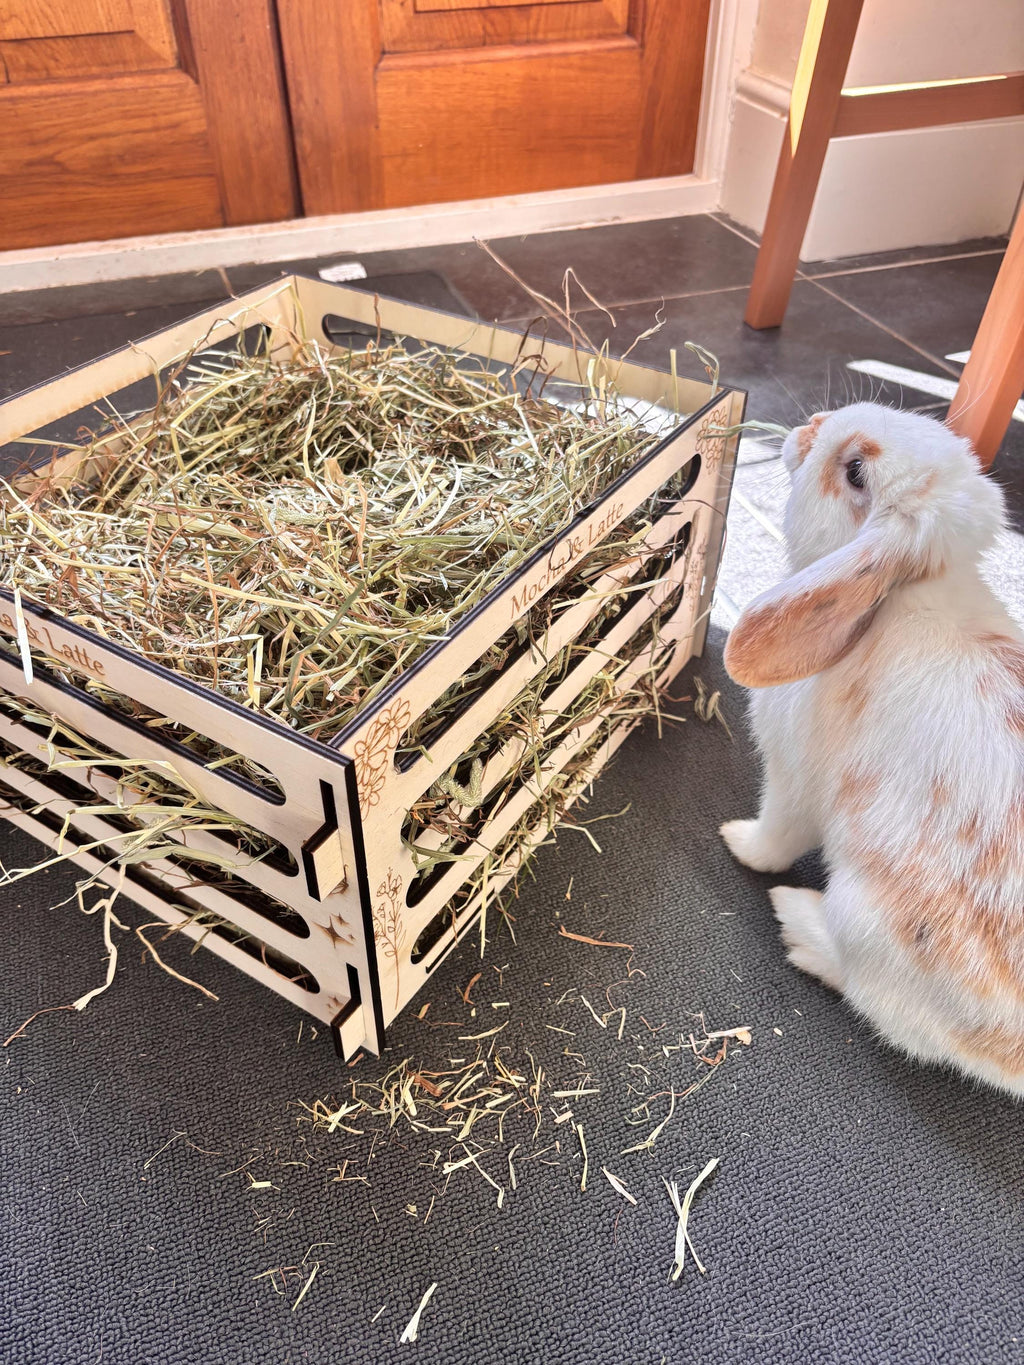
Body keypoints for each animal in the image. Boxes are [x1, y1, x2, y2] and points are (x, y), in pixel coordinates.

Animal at [719, 401, 1024, 1097]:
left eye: (856, 471)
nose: (812, 421)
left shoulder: (793, 780)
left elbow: (776, 836)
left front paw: (737, 842)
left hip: (870, 919)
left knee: (874, 1000)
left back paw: (795, 919)